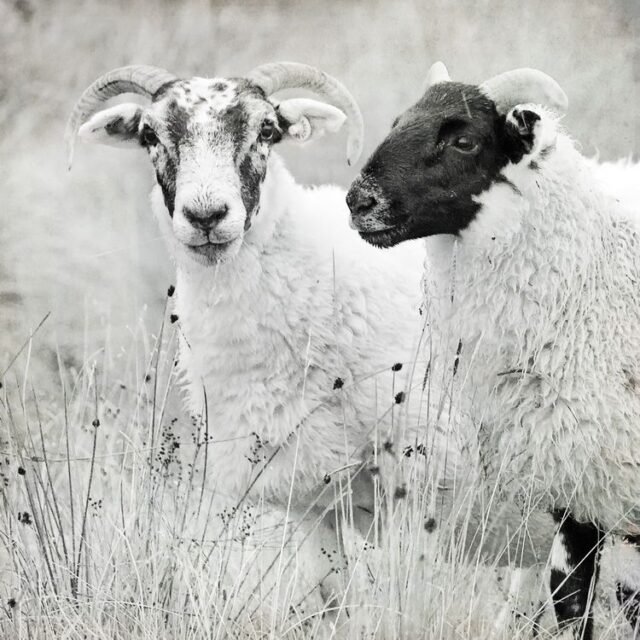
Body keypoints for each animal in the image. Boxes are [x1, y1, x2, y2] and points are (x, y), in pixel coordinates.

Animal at [65, 62, 459, 620]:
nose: (206, 216)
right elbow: (329, 603)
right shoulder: (308, 500)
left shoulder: (420, 484)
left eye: (267, 130)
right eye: (149, 135)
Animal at [346, 62, 640, 639]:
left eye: (464, 139)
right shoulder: (571, 480)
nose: (359, 201)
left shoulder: (593, 474)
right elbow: (570, 600)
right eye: (400, 122)